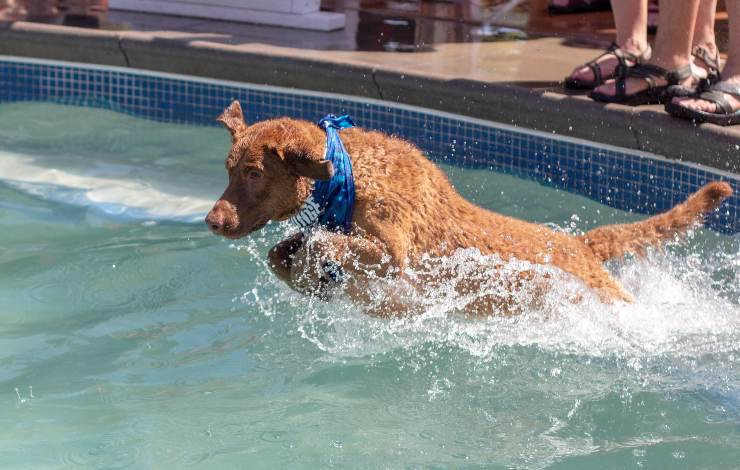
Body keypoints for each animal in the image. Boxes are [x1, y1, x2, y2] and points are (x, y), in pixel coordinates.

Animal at [205, 102, 732, 316]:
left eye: (254, 173)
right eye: (228, 169)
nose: (212, 221)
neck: (346, 173)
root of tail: (581, 245)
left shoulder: (394, 254)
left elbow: (323, 243)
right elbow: (283, 252)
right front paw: (308, 278)